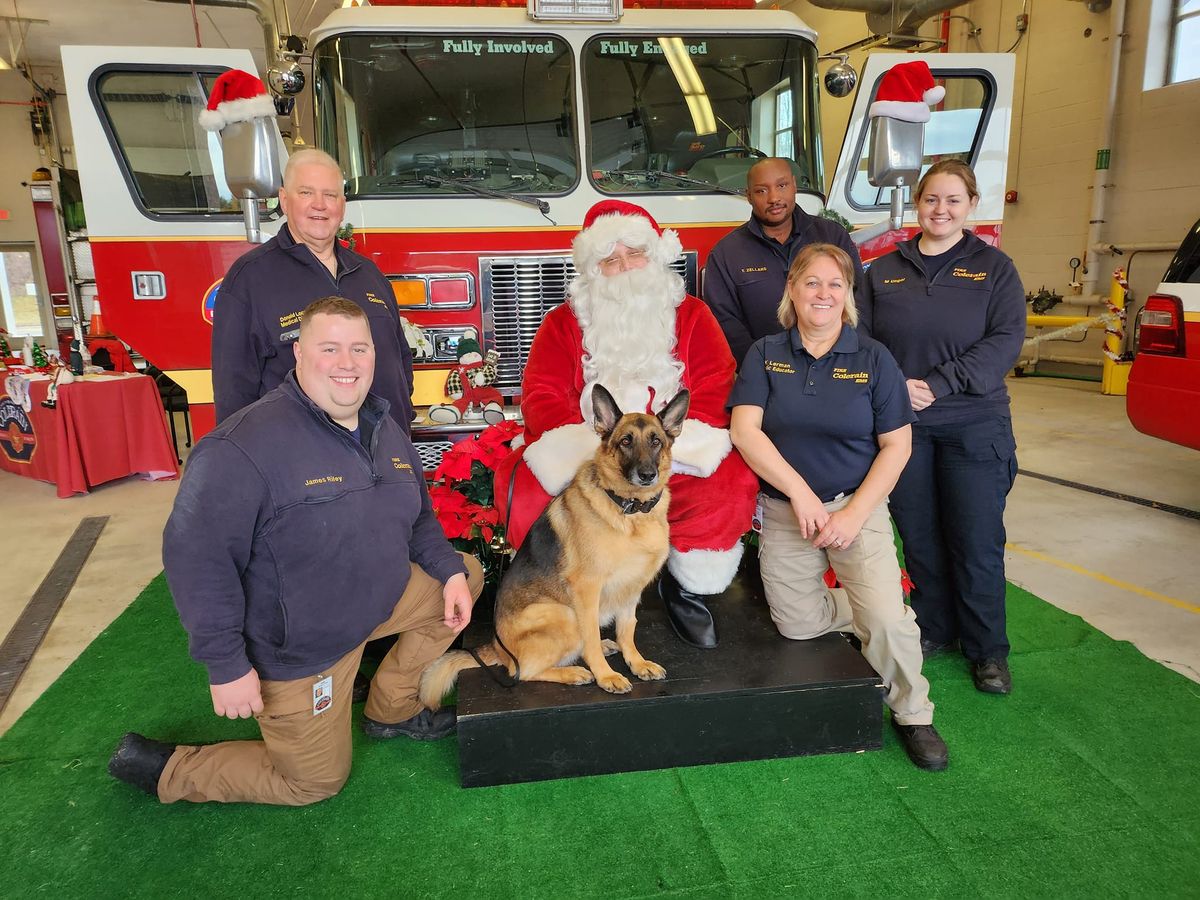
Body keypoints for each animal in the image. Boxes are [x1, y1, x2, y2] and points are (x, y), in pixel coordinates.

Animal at [417, 384, 691, 710]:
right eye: (626, 441)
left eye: (656, 441)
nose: (647, 475)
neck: (630, 510)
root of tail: (497, 647)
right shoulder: (587, 589)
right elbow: (591, 638)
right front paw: (606, 676)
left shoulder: (631, 588)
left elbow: (628, 629)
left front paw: (636, 663)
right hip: (564, 613)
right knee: (524, 671)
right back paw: (574, 672)